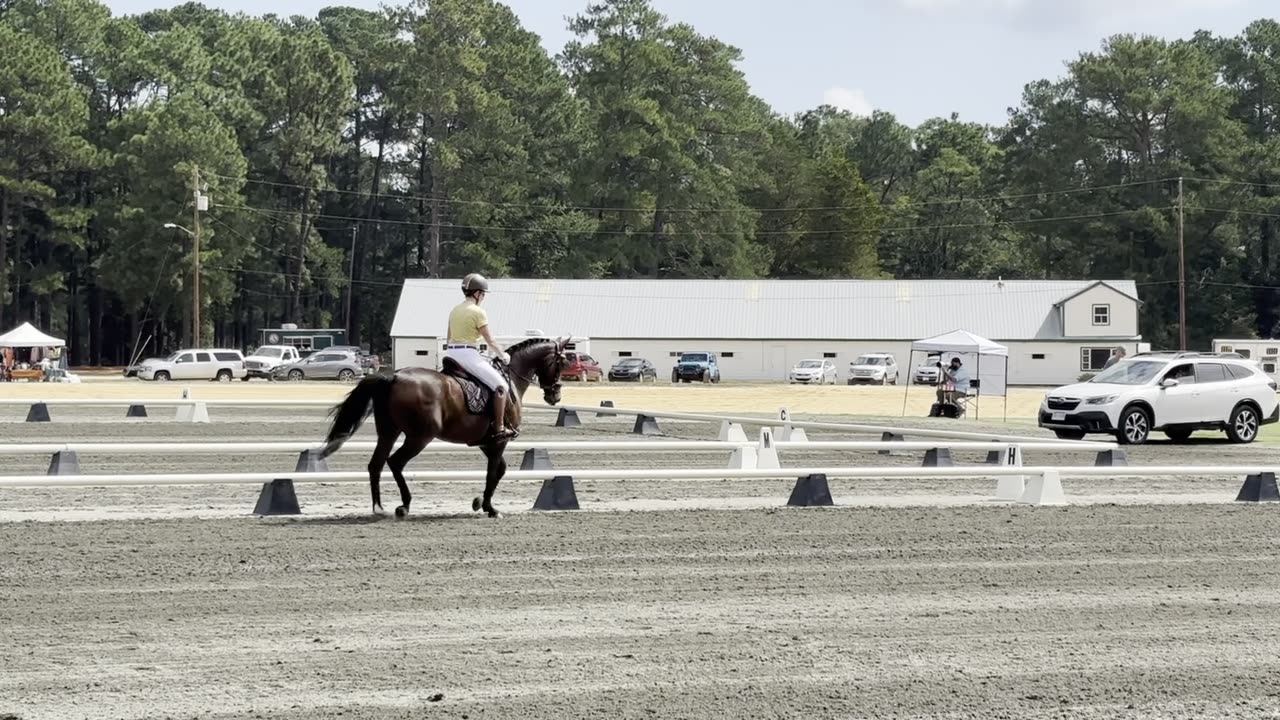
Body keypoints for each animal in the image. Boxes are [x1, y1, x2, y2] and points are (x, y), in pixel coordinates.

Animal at [317, 335, 568, 515]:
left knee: (376, 465)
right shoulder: (499, 441)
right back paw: (404, 505)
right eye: (561, 362)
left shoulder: (485, 443)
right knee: (395, 462)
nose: (555, 396)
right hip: (420, 436)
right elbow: (492, 472)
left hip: (389, 432)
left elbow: (500, 470)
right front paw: (490, 508)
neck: (511, 379)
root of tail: (393, 377)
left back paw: (379, 509)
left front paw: (479, 502)